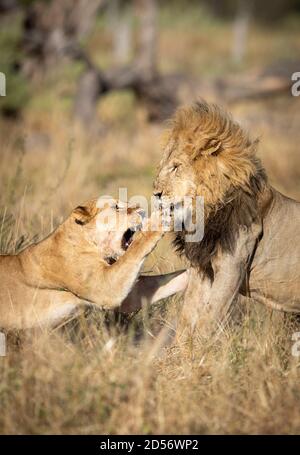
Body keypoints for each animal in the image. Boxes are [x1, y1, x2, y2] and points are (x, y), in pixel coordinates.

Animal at [0, 200, 188, 332]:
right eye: (116, 207)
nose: (141, 209)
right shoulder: (106, 287)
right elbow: (138, 246)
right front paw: (160, 218)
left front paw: (191, 274)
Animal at [155, 100, 300, 334]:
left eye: (176, 167)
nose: (156, 194)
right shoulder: (202, 269)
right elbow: (188, 317)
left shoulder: (231, 266)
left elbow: (208, 319)